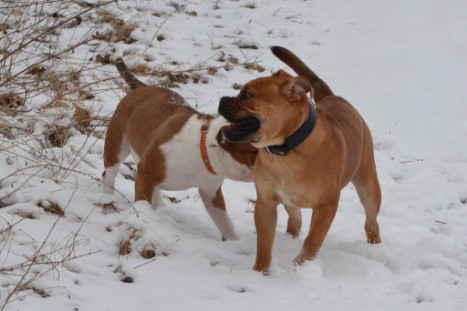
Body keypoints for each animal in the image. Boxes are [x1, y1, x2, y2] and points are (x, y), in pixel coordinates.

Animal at [102, 59, 258, 243]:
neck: (203, 150)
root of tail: (142, 87)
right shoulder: (147, 172)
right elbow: (142, 200)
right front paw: (143, 216)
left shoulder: (211, 193)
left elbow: (224, 222)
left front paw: (234, 241)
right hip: (117, 145)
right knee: (109, 174)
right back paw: (109, 200)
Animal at [218, 45, 382, 272]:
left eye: (248, 94)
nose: (222, 100)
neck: (287, 149)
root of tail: (333, 97)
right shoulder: (266, 203)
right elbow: (264, 242)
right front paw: (260, 271)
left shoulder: (327, 206)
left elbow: (312, 241)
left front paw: (300, 266)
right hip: (289, 200)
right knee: (295, 221)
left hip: (368, 185)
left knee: (371, 220)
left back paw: (374, 244)